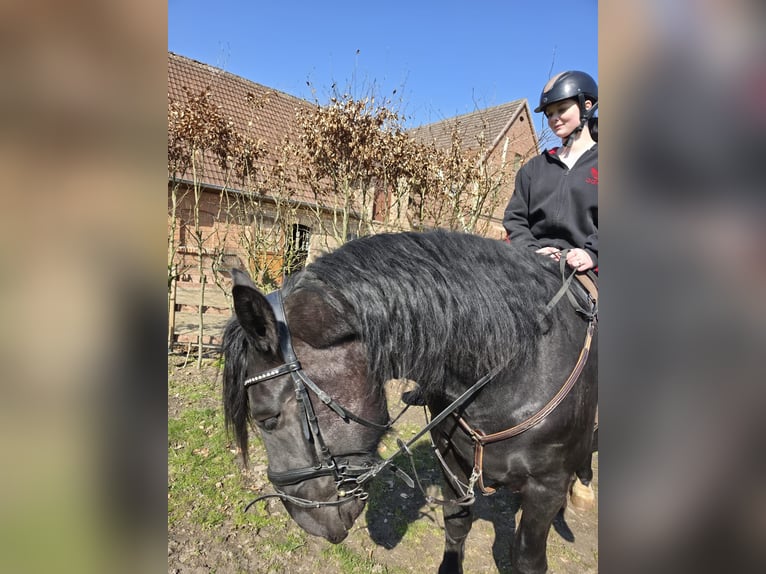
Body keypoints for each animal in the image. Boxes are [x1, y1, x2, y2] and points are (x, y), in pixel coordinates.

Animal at [221, 229, 598, 574]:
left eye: (268, 419)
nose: (303, 519)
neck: (518, 365)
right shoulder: (452, 461)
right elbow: (456, 523)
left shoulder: (546, 487)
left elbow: (527, 559)